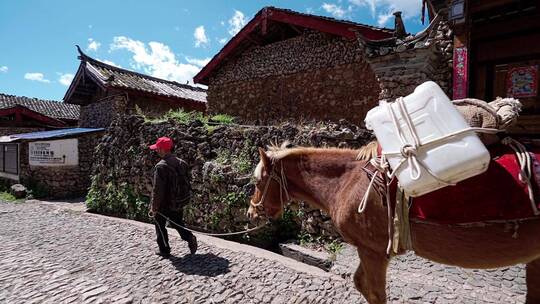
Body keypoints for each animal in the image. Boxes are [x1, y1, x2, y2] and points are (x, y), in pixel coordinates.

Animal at [248, 142, 540, 304]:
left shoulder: (373, 252)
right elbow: (360, 283)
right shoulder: (373, 252)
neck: (346, 181)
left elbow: (376, 292)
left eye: (258, 181)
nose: (252, 212)